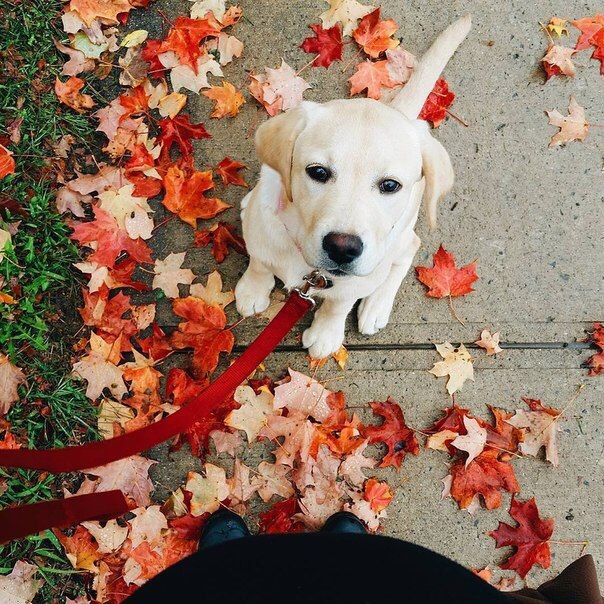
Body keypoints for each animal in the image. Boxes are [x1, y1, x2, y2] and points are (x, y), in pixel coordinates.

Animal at [236, 16, 472, 358]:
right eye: (318, 172)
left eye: (390, 185)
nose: (342, 247)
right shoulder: (262, 234)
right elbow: (259, 262)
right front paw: (252, 289)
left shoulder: (353, 283)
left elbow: (338, 304)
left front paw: (325, 333)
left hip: (399, 235)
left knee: (408, 249)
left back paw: (377, 305)